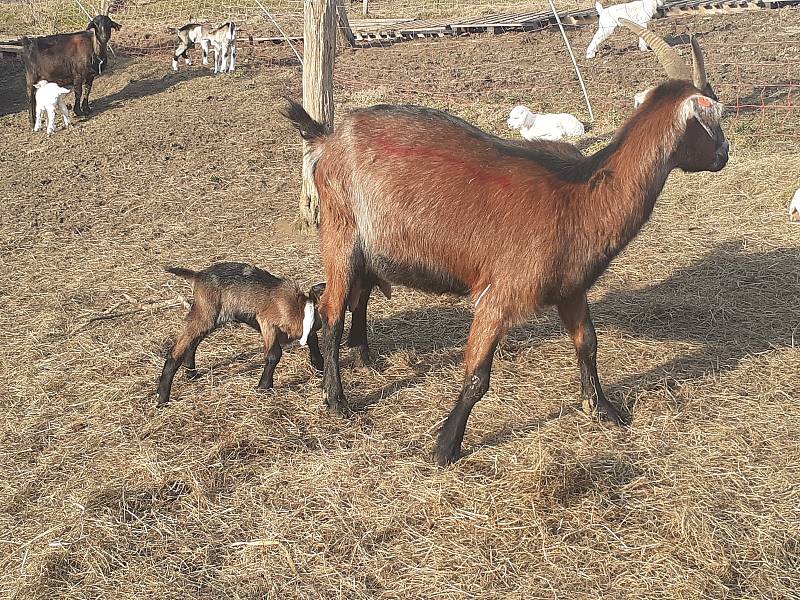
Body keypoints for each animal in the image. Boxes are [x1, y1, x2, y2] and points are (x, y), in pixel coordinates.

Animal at [284, 25, 728, 466]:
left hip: (367, 249)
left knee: (358, 297)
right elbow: (478, 377)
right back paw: (337, 400)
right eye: (714, 116)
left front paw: (604, 409)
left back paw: (364, 357)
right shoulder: (499, 294)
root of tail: (328, 138)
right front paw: (445, 446)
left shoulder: (570, 289)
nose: (724, 154)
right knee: (330, 309)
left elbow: (588, 343)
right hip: (339, 232)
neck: (581, 192)